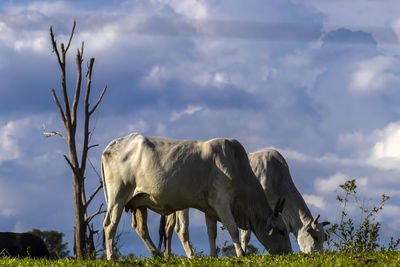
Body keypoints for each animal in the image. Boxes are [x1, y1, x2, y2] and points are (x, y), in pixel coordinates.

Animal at [101, 133, 292, 260]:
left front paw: (214, 256)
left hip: (139, 201)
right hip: (117, 196)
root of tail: (113, 144)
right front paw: (241, 254)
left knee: (141, 228)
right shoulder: (221, 202)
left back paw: (157, 254)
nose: (289, 253)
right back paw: (112, 257)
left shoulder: (210, 208)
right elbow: (233, 229)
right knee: (110, 224)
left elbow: (212, 233)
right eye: (282, 231)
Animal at [158, 150, 330, 256]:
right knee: (181, 229)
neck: (277, 178)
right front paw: (243, 253)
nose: (318, 255)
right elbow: (245, 235)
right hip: (183, 204)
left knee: (168, 228)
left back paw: (167, 255)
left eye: (324, 238)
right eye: (314, 236)